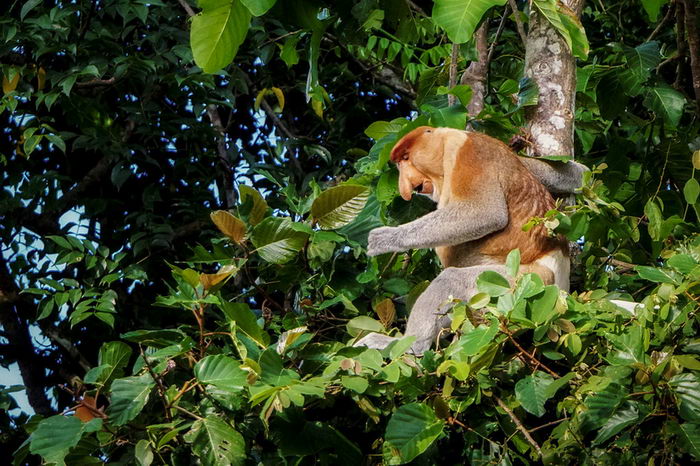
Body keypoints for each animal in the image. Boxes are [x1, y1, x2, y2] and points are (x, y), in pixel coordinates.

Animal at [352, 126, 588, 354]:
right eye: (400, 162)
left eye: (406, 157)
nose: (405, 187)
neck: (444, 146)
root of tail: (562, 289)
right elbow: (555, 171)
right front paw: (581, 175)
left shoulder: (468, 151)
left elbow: (485, 212)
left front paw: (383, 239)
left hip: (526, 282)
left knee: (451, 279)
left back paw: (408, 347)